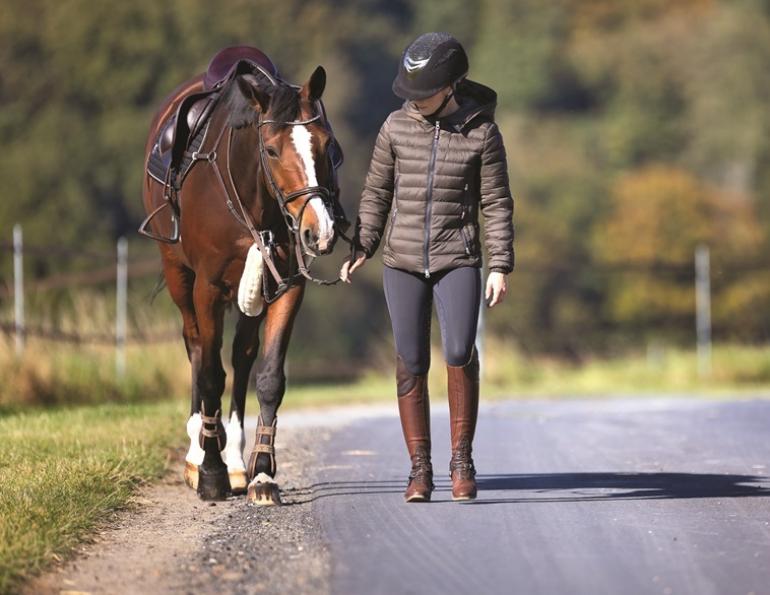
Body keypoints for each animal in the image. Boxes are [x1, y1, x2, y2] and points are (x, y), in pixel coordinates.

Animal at [141, 49, 344, 504]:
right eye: (270, 150)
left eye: (326, 145)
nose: (319, 230)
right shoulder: (207, 288)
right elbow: (210, 373)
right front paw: (211, 472)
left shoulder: (288, 287)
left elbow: (268, 377)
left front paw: (262, 473)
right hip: (179, 275)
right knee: (197, 347)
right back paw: (199, 453)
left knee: (241, 355)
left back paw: (234, 458)